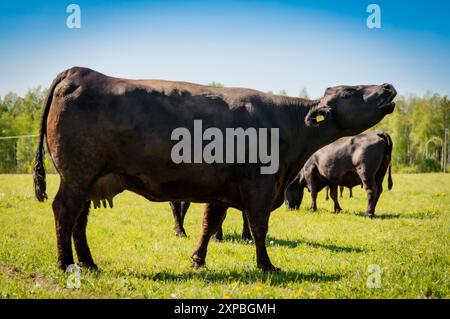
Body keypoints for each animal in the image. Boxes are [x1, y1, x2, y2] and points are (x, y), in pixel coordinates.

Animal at [33, 66, 396, 272]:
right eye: (349, 91)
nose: (388, 86)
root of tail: (80, 71)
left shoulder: (221, 190)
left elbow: (210, 225)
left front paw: (198, 259)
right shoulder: (260, 186)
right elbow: (259, 227)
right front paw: (266, 265)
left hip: (88, 178)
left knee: (79, 219)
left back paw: (88, 262)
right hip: (77, 174)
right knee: (64, 212)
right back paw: (66, 264)